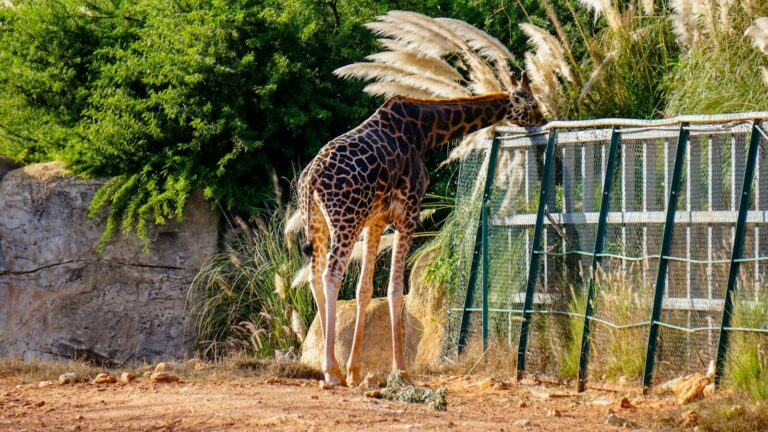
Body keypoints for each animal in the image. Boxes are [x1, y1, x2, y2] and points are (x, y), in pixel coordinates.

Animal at [298, 72, 543, 386]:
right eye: (531, 101)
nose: (542, 118)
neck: (425, 131)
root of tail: (311, 180)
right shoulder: (408, 212)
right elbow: (395, 289)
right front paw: (401, 370)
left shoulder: (376, 221)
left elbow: (364, 289)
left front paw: (356, 370)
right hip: (345, 220)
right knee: (331, 275)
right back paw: (331, 371)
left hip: (318, 222)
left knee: (314, 276)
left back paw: (336, 369)